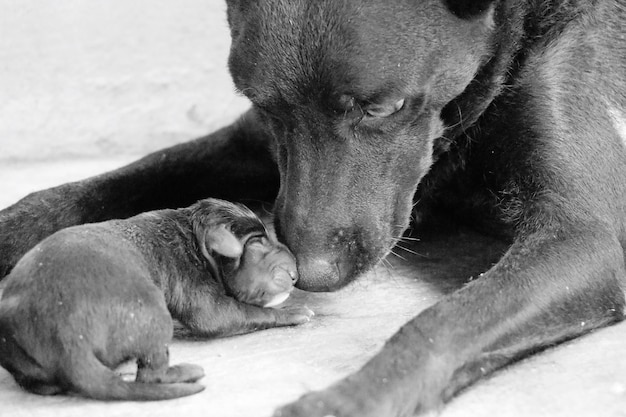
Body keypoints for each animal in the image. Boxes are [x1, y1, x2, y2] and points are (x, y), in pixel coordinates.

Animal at [0, 198, 310, 400]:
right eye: (256, 242)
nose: (295, 274)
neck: (192, 233)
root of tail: (69, 345)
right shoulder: (196, 288)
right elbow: (243, 312)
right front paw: (294, 311)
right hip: (153, 312)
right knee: (150, 374)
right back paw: (186, 371)